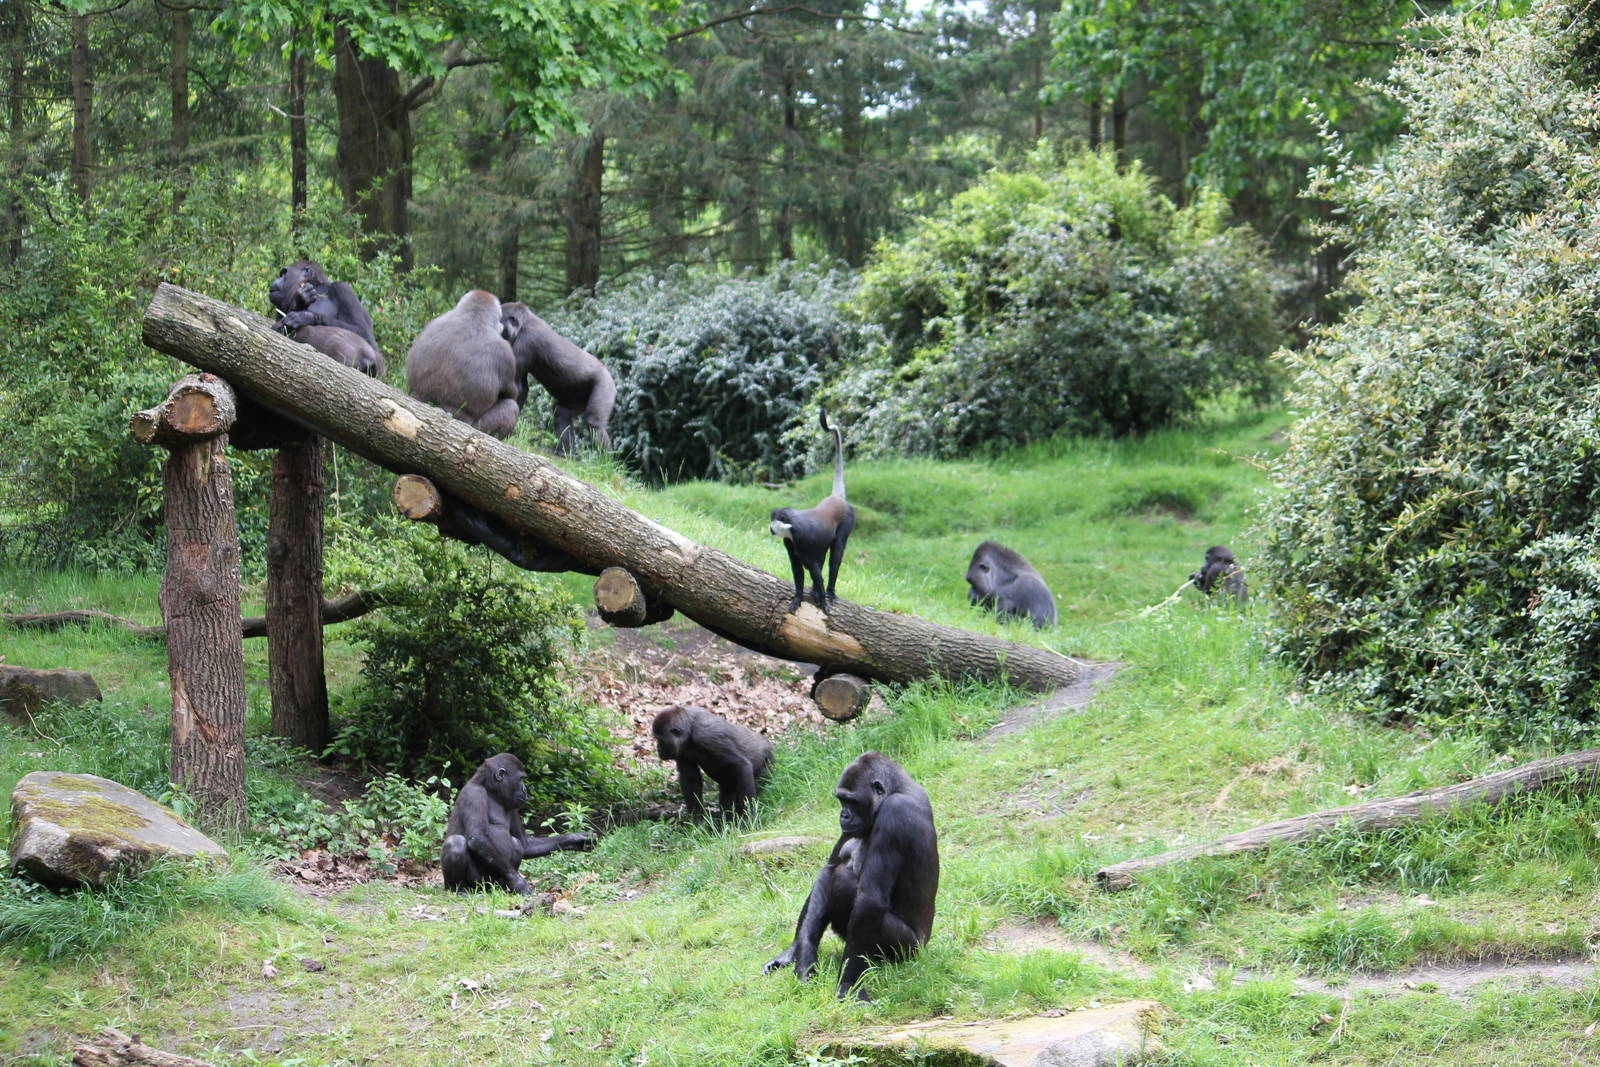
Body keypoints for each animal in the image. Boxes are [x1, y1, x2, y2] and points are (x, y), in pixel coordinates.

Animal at [405, 290, 521, 438]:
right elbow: (511, 395)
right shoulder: (505, 353)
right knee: (510, 407)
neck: (473, 316)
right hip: (476, 428)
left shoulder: (431, 323)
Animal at [770, 410, 856, 614]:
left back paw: (829, 592)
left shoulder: (802, 540)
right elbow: (798, 569)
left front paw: (823, 601)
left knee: (835, 555)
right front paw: (798, 597)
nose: (770, 529)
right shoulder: (790, 542)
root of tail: (837, 498)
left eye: (775, 521)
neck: (792, 526)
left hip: (847, 523)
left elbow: (815, 570)